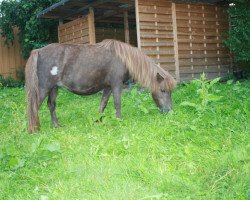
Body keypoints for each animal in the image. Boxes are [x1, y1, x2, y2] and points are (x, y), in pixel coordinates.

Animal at [25, 39, 176, 133]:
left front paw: (98, 121)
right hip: (44, 88)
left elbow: (102, 104)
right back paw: (33, 129)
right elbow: (117, 103)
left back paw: (56, 126)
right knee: (34, 107)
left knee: (51, 105)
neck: (123, 58)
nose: (169, 112)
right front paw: (119, 121)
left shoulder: (108, 87)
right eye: (163, 90)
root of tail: (39, 51)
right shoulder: (116, 84)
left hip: (54, 88)